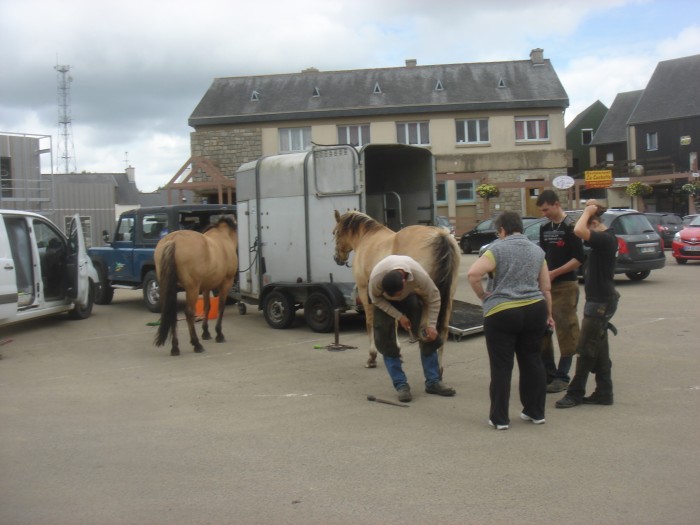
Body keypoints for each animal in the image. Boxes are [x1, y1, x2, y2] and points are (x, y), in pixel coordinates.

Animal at [154, 214, 239, 356]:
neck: (223, 237)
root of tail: (173, 240)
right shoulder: (226, 282)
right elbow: (221, 306)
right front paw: (219, 334)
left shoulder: (206, 287)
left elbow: (207, 306)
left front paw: (206, 332)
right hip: (192, 288)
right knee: (189, 313)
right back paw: (196, 344)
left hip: (169, 287)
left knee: (172, 313)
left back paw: (175, 348)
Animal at [332, 209, 462, 368]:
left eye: (335, 232)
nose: (337, 258)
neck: (366, 238)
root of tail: (440, 236)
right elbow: (395, 320)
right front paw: (397, 351)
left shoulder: (364, 289)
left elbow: (370, 322)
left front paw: (372, 357)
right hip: (448, 297)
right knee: (442, 330)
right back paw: (439, 368)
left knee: (428, 330)